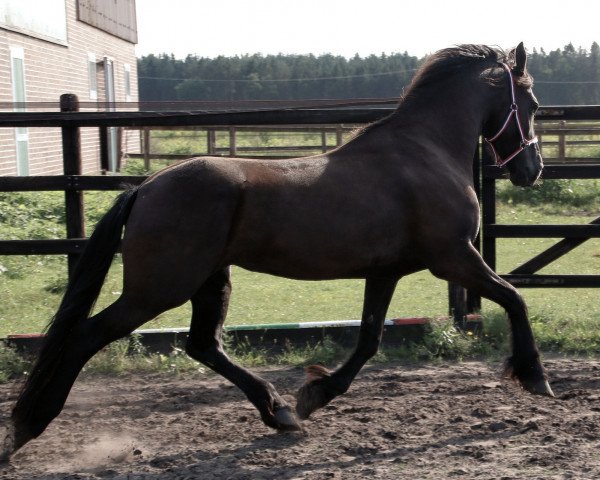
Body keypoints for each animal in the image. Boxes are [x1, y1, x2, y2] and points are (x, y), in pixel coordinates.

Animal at [1, 42, 552, 462]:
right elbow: (515, 299)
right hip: (159, 287)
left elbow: (369, 339)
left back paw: (280, 412)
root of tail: (146, 187)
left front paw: (314, 396)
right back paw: (27, 427)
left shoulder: (387, 271)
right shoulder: (454, 258)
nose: (532, 169)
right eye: (531, 103)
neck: (424, 151)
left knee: (203, 345)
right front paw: (536, 378)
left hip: (210, 280)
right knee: (87, 337)